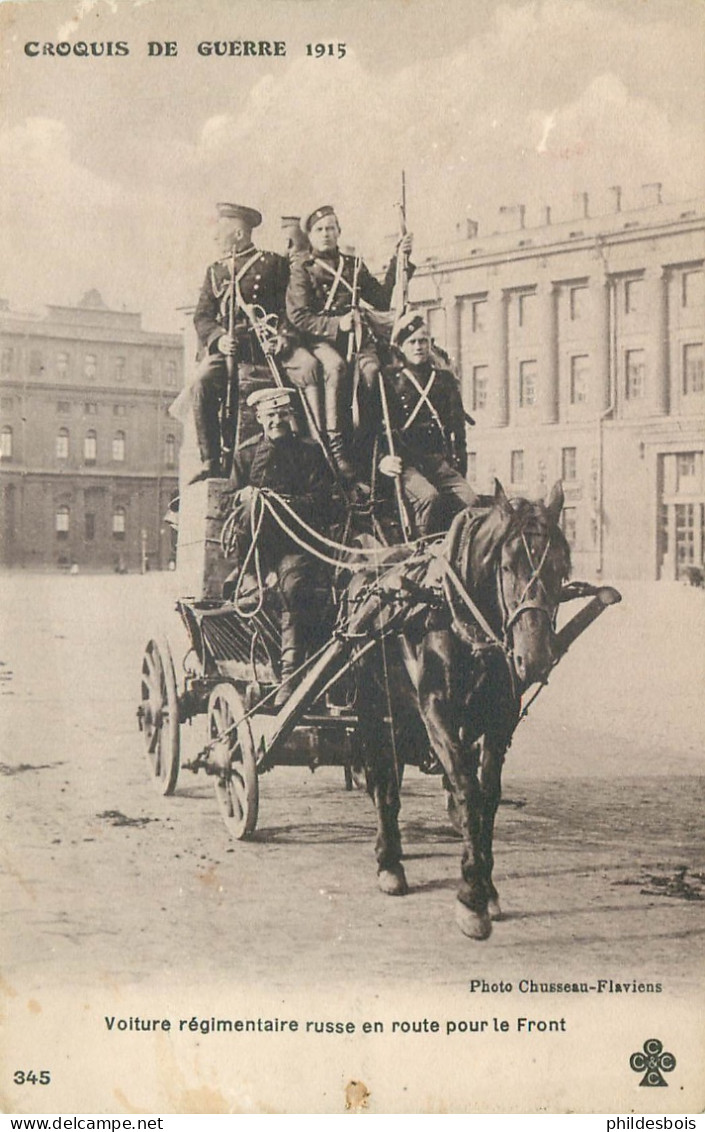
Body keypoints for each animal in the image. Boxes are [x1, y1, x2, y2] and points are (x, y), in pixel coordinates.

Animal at [350, 475, 570, 937]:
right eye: (507, 567)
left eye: (562, 569)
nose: (534, 659)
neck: (456, 615)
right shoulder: (436, 711)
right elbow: (467, 791)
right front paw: (470, 897)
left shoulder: (500, 718)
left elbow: (488, 796)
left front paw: (486, 887)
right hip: (372, 704)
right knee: (381, 776)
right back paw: (389, 859)